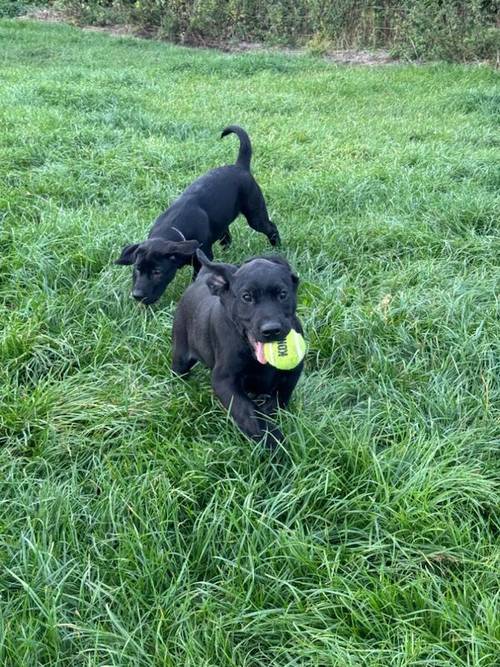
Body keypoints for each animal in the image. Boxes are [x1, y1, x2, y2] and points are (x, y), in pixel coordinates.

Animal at [115, 126, 280, 306]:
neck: (174, 229)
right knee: (226, 234)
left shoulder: (202, 261)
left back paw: (277, 247)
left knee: (270, 227)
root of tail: (240, 167)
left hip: (255, 214)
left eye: (157, 272)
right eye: (136, 269)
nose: (137, 295)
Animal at [174, 250, 302, 448]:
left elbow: (280, 397)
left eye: (283, 294)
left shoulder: (294, 371)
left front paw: (269, 413)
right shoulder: (224, 380)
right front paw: (275, 445)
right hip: (180, 352)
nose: (271, 330)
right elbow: (248, 412)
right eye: (247, 297)